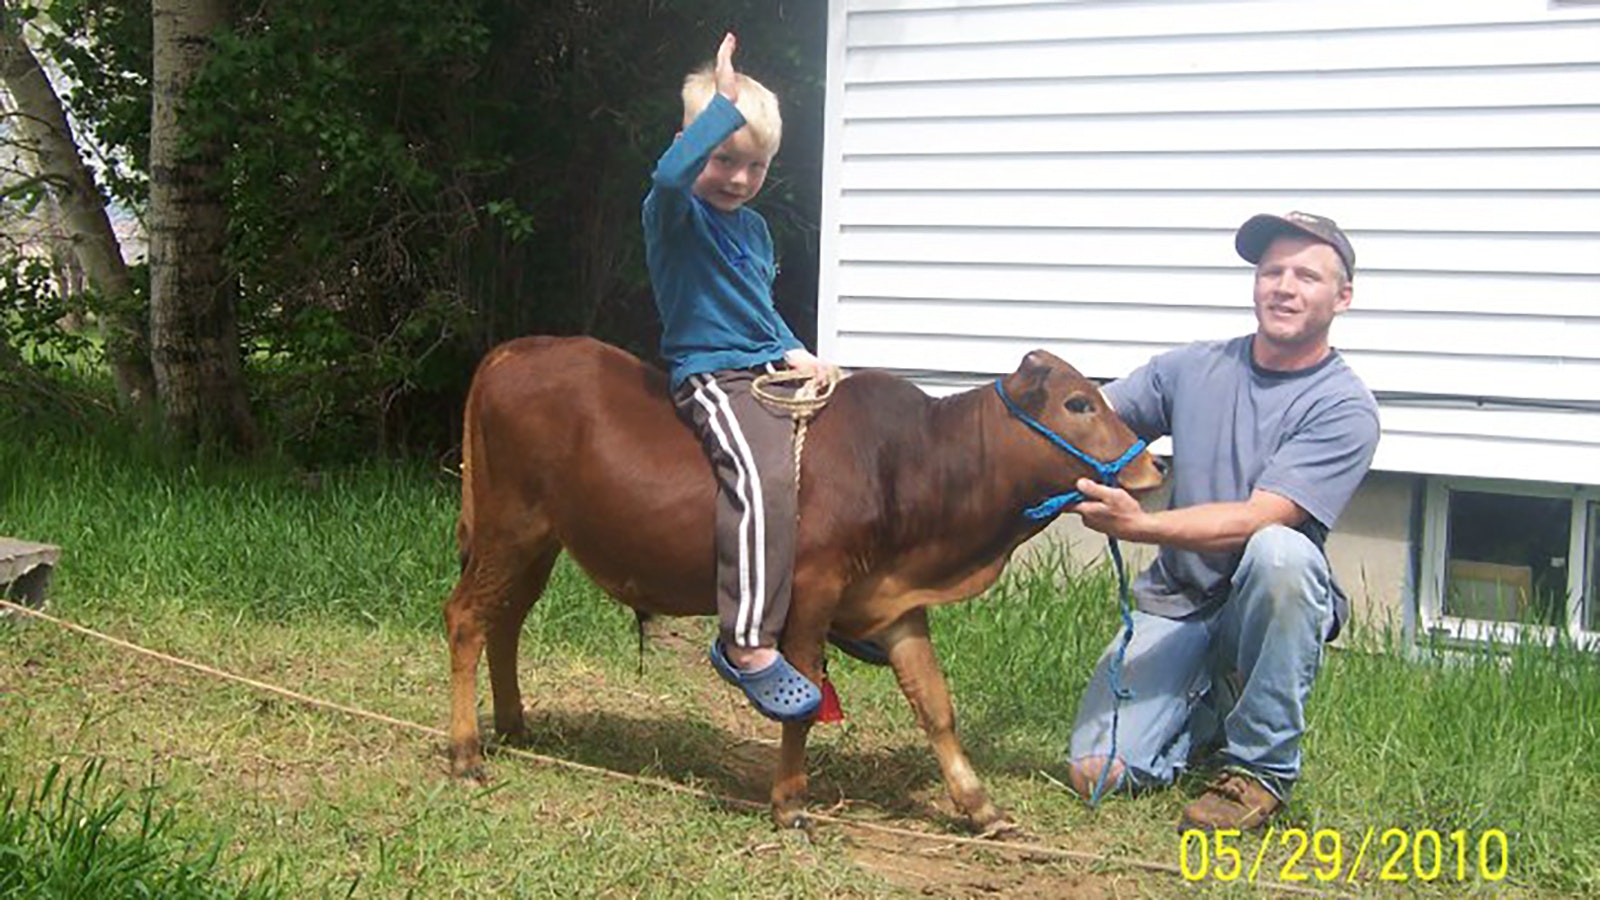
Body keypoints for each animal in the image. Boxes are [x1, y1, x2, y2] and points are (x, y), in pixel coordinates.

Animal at [444, 334, 1158, 826]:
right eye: (1077, 403)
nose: (1150, 469)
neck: (912, 461)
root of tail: (513, 351)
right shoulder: (814, 587)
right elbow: (807, 694)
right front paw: (789, 802)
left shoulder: (895, 602)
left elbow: (934, 703)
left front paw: (979, 804)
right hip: (510, 528)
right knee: (467, 620)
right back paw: (466, 752)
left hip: (539, 543)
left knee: (504, 623)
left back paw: (513, 727)